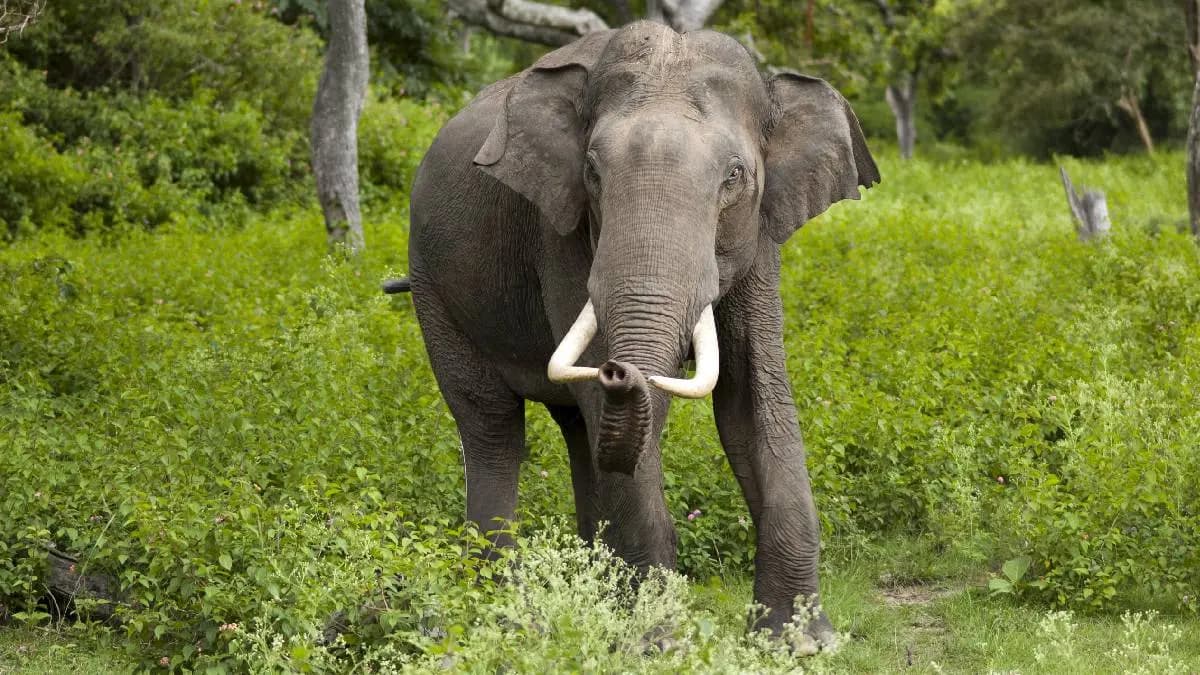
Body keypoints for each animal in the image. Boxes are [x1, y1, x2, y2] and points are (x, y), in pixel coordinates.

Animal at [397, 21, 879, 645]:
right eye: (593, 172)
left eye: (735, 176)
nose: (618, 369)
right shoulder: (562, 231)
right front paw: (658, 642)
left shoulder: (761, 235)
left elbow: (753, 399)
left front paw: (800, 644)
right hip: (432, 287)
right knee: (493, 427)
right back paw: (502, 611)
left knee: (578, 431)